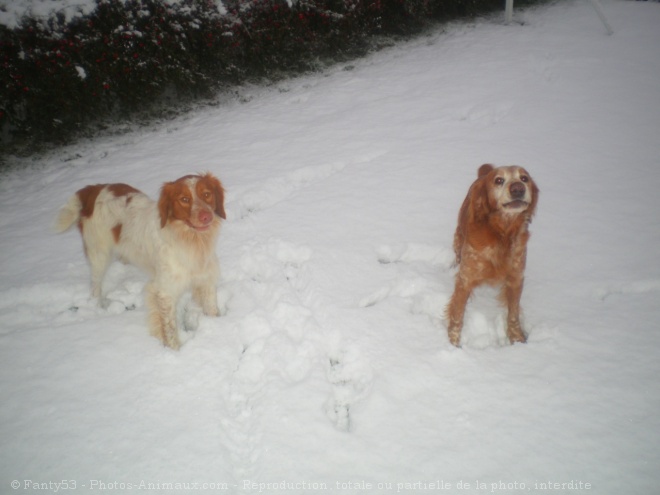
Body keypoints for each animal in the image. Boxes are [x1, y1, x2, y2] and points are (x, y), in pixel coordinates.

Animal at [54, 172, 224, 350]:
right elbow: (169, 328)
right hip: (99, 254)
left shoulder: (206, 280)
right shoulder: (165, 292)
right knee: (95, 285)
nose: (206, 216)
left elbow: (212, 310)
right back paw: (97, 306)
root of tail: (95, 188)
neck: (190, 241)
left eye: (207, 194)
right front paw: (174, 351)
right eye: (184, 199)